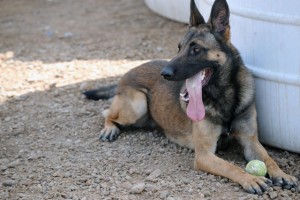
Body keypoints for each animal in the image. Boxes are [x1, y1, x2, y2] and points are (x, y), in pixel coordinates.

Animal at [84, 0, 298, 194]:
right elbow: (231, 166)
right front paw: (251, 179)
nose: (164, 73)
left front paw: (282, 174)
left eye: (196, 49)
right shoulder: (204, 155)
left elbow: (269, 158)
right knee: (107, 113)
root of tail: (126, 73)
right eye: (179, 47)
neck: (224, 95)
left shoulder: (250, 141)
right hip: (137, 104)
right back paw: (109, 129)